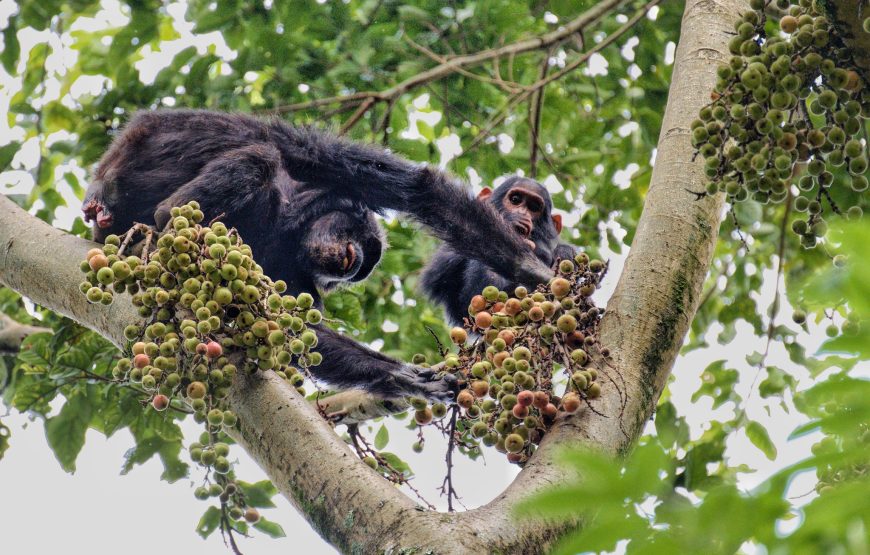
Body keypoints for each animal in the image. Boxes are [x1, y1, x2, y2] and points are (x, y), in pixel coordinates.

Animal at [85, 111, 556, 402]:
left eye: (363, 267)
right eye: (361, 240)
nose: (353, 261)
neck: (289, 228)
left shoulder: (298, 282)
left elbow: (295, 330)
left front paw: (404, 378)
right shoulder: (327, 162)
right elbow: (418, 190)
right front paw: (533, 270)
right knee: (259, 155)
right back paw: (168, 219)